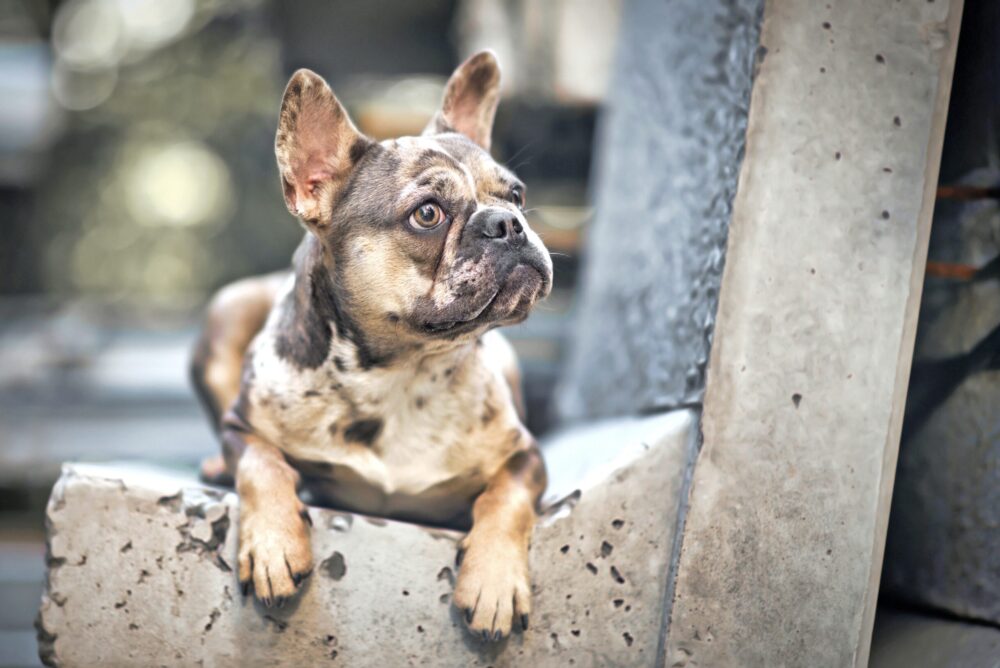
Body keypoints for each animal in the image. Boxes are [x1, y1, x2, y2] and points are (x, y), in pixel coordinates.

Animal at [189, 53, 556, 640]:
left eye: (516, 195)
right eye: (427, 214)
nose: (508, 223)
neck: (402, 371)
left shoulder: (526, 455)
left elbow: (507, 498)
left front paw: (493, 583)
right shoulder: (241, 426)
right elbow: (262, 464)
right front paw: (273, 544)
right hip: (228, 313)